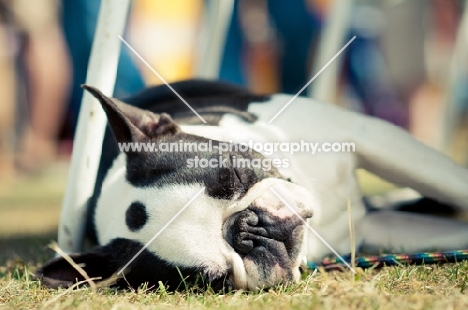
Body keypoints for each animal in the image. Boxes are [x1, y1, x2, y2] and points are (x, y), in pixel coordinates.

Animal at [39, 79, 468, 290]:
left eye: (235, 173)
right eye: (216, 280)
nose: (249, 229)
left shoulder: (369, 135)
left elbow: (451, 181)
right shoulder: (376, 230)